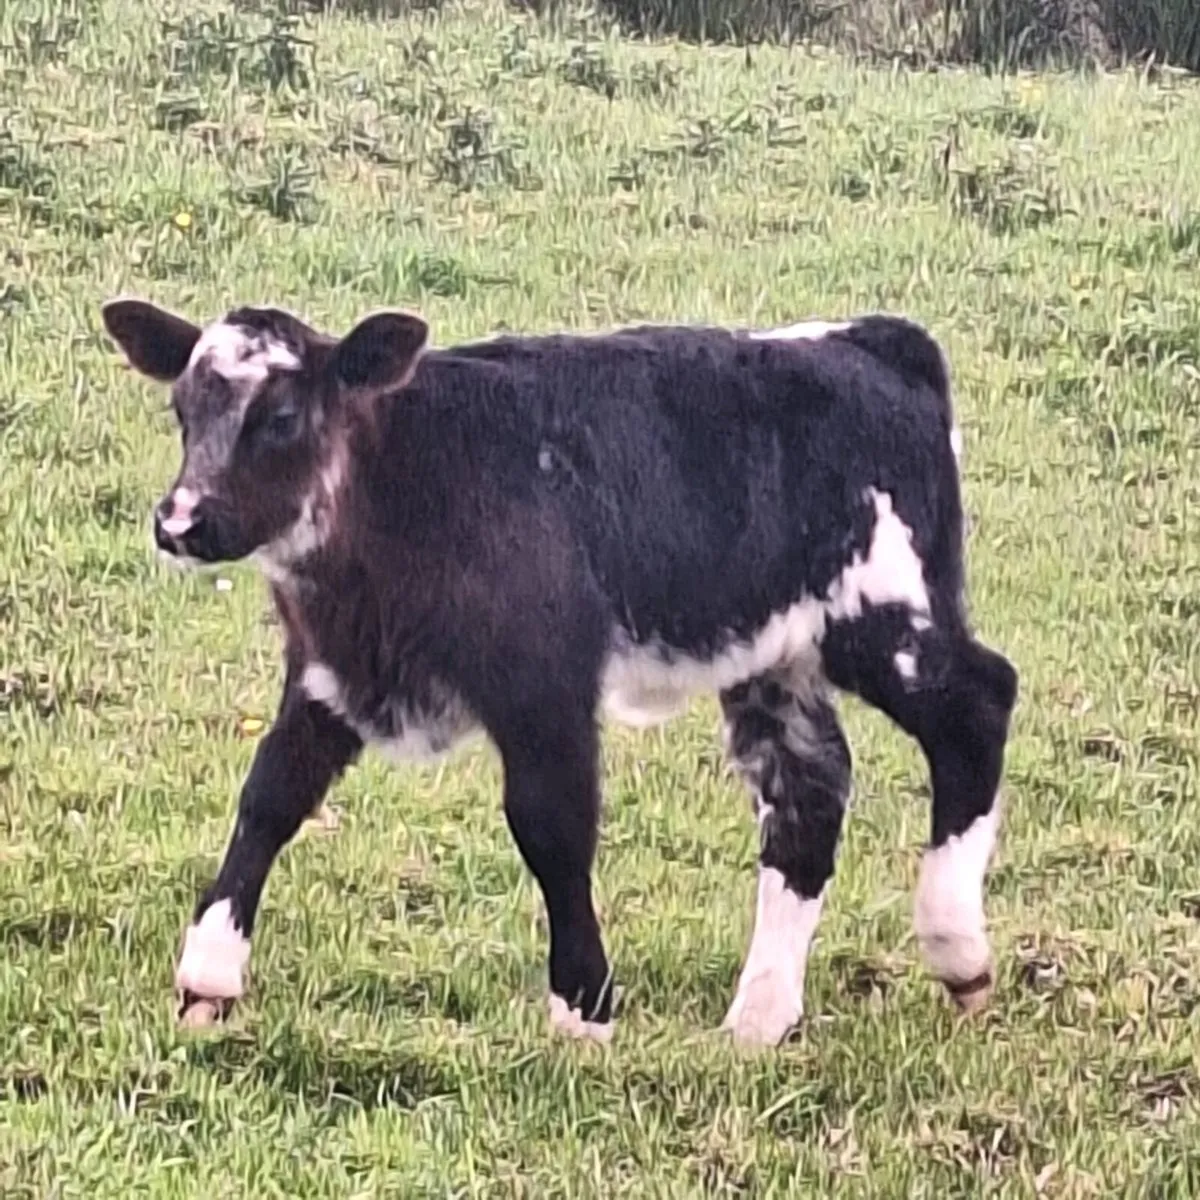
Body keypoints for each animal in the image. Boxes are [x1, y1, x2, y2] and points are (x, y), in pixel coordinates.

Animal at [100, 296, 1018, 1047]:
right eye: (183, 409)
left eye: (283, 415)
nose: (180, 521)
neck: (408, 479)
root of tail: (869, 342)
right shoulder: (330, 676)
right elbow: (270, 797)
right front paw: (209, 976)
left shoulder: (545, 687)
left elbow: (552, 827)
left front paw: (583, 1004)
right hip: (776, 657)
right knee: (808, 798)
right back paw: (758, 1020)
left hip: (885, 617)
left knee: (978, 705)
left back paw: (956, 948)